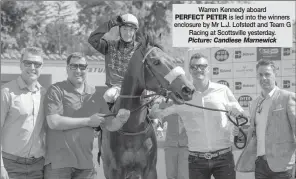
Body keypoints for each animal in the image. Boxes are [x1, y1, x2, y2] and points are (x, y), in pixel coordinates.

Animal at [100, 34, 195, 179]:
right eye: (156, 62)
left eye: (172, 60)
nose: (188, 89)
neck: (131, 129)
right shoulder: (115, 172)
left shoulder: (149, 170)